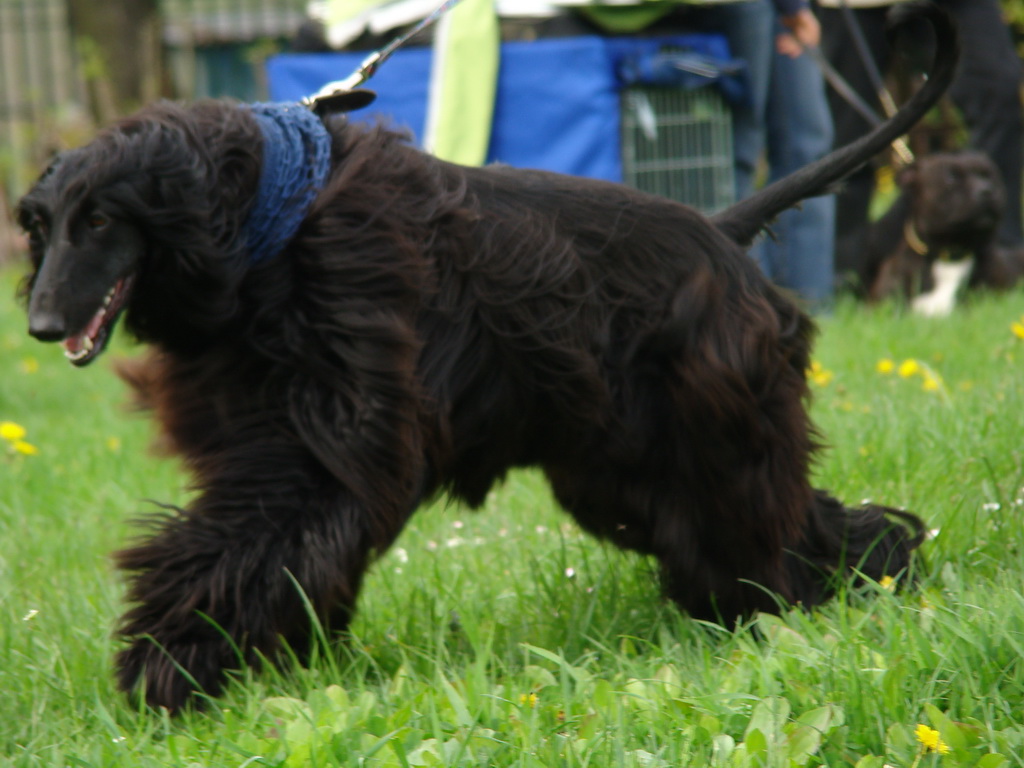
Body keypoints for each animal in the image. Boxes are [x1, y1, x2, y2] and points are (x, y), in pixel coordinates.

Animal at [16, 1, 954, 716]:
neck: (268, 226)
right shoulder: (263, 435)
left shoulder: (332, 441)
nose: (40, 322)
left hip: (709, 430)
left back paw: (815, 598)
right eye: (44, 225)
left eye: (101, 221)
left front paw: (172, 660)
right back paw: (853, 578)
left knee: (765, 523)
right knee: (775, 520)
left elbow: (255, 536)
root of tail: (722, 229)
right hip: (632, 459)